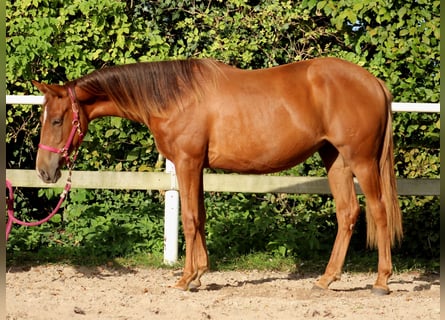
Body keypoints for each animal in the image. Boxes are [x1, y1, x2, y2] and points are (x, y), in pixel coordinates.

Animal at [33, 58, 402, 296]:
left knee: (378, 211)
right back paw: (327, 279)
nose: (44, 170)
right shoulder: (197, 166)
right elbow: (201, 216)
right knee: (347, 213)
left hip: (362, 161)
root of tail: (375, 83)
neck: (174, 98)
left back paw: (381, 281)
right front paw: (199, 274)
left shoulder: (186, 163)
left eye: (57, 120)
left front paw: (185, 279)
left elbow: (189, 218)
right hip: (335, 159)